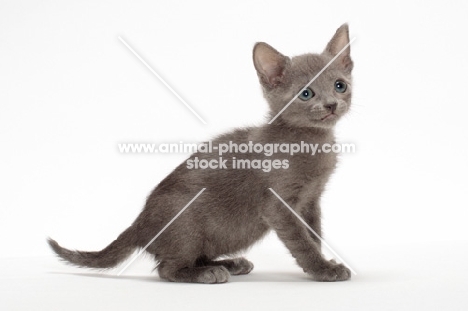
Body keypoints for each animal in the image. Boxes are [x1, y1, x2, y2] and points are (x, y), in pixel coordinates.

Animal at [48, 23, 354, 284]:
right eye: (306, 94)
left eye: (340, 85)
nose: (331, 104)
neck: (312, 142)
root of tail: (140, 222)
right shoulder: (279, 205)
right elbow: (302, 242)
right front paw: (322, 269)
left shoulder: (311, 201)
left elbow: (314, 235)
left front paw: (325, 261)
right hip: (186, 225)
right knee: (168, 268)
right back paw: (207, 273)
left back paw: (230, 263)